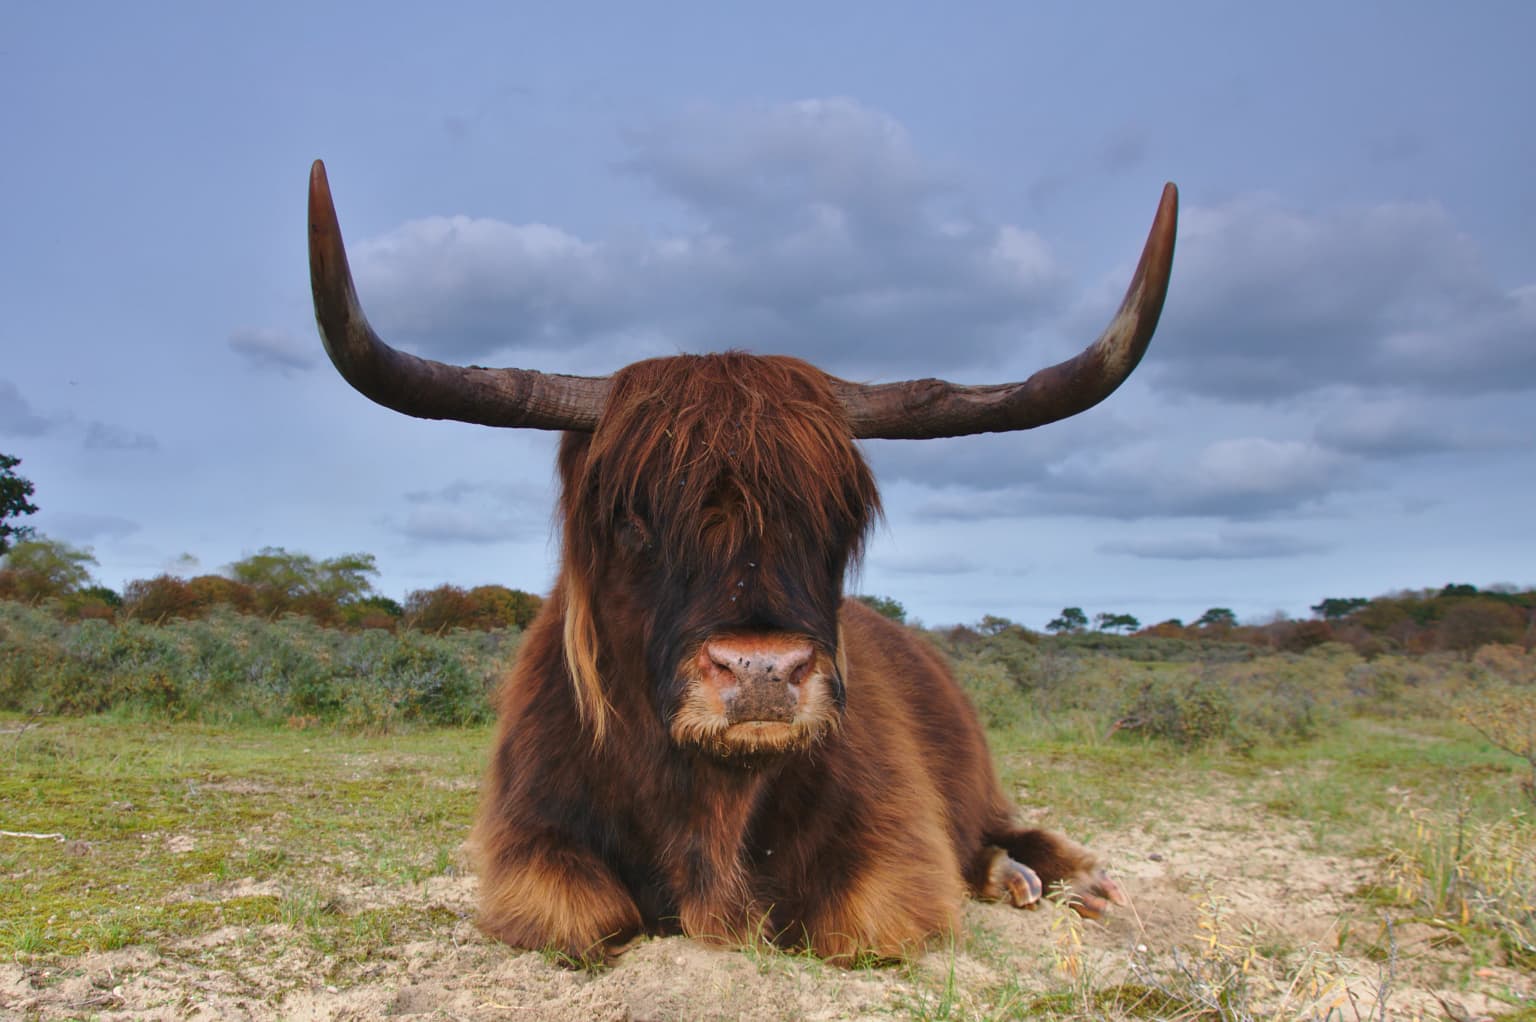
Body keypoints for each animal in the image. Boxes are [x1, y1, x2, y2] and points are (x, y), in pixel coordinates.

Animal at [306, 160, 1177, 964]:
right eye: (631, 517)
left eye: (836, 518)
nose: (763, 672)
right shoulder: (531, 843)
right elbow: (585, 915)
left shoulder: (898, 848)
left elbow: (859, 922)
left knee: (1007, 825)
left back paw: (1060, 878)